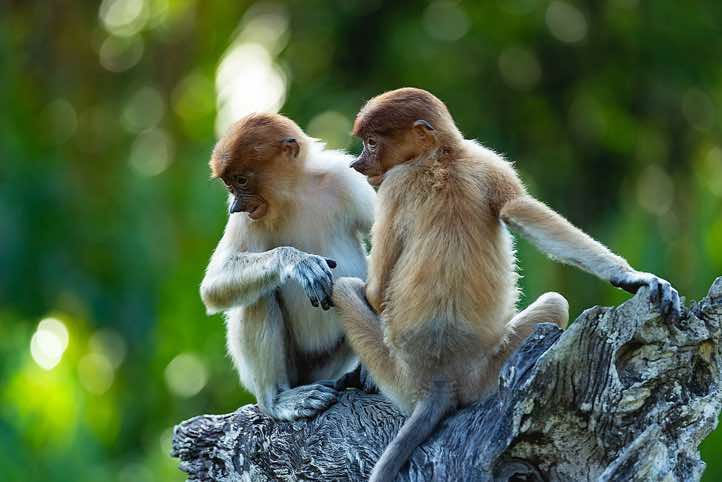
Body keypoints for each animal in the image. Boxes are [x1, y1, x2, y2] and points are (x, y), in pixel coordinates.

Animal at [200, 112, 376, 420]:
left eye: (241, 180)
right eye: (230, 186)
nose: (234, 206)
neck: (293, 194)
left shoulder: (346, 180)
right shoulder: (247, 218)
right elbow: (213, 286)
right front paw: (299, 263)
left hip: (331, 361)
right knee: (258, 296)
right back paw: (278, 401)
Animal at [331, 88, 681, 482]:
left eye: (372, 143)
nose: (358, 164)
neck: (440, 157)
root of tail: (439, 378)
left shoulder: (397, 185)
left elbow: (375, 293)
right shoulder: (481, 167)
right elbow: (519, 208)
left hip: (416, 374)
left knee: (342, 289)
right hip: (477, 372)